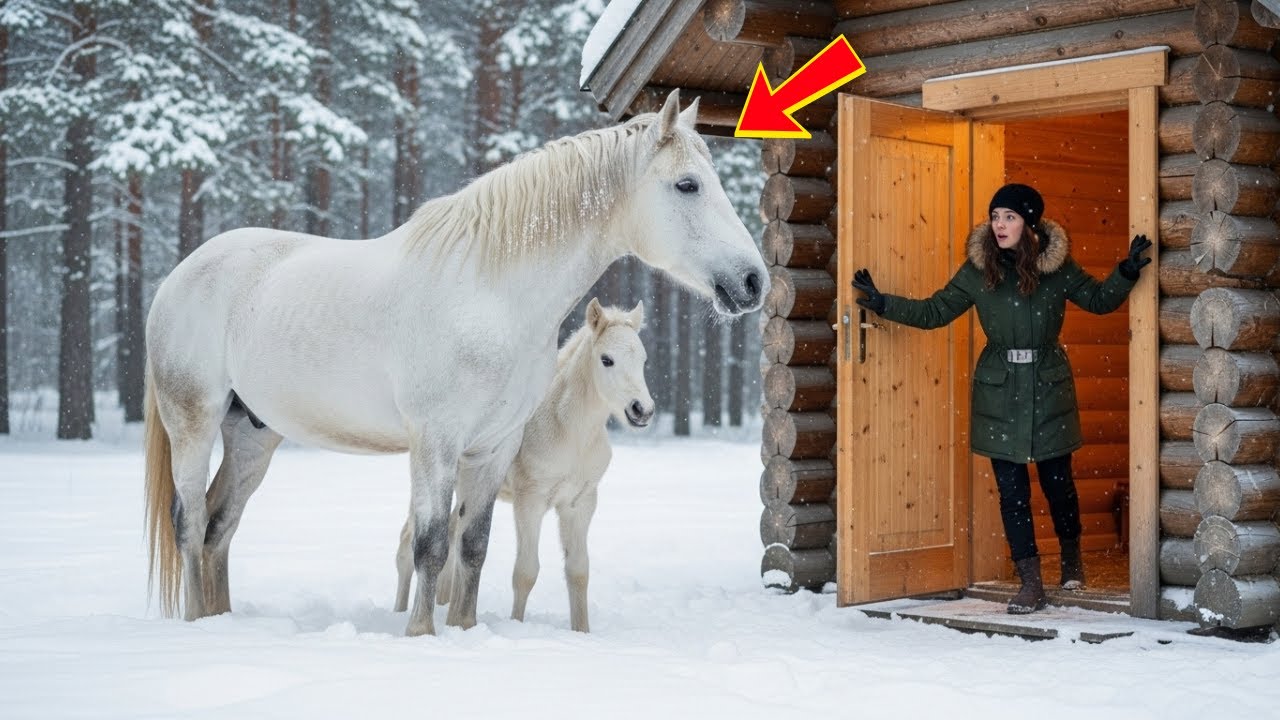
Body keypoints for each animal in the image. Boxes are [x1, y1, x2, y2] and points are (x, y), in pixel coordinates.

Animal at [393, 298, 651, 632]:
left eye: (643, 360)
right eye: (607, 360)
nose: (642, 410)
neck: (571, 432)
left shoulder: (580, 503)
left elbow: (579, 571)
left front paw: (582, 631)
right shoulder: (530, 501)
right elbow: (526, 572)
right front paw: (517, 623)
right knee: (406, 544)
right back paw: (402, 614)